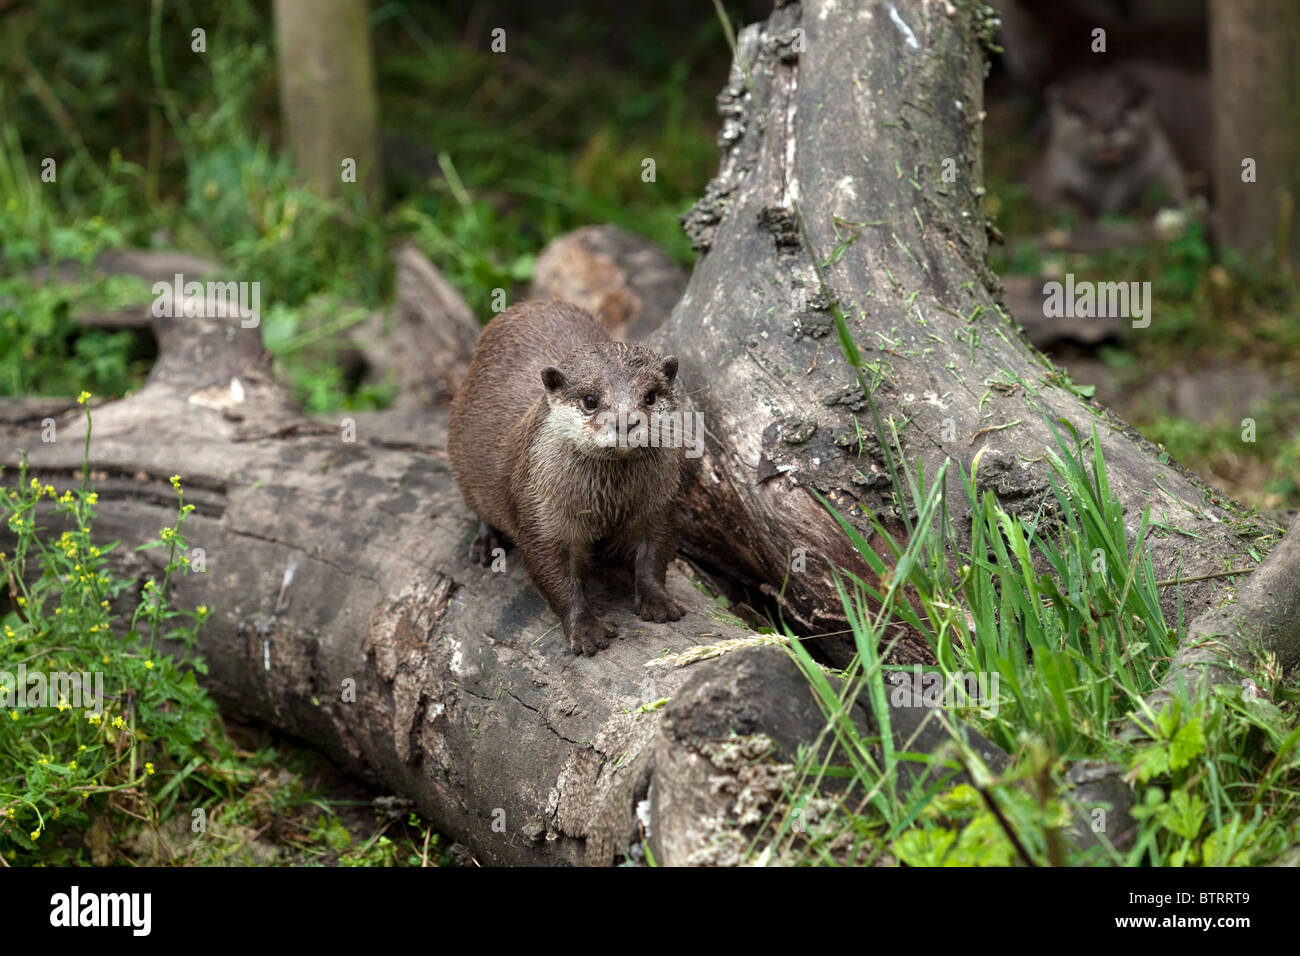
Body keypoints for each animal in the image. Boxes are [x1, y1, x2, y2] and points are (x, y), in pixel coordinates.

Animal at [448, 299, 684, 656]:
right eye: (590, 400)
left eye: (651, 396)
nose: (626, 421)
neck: (608, 502)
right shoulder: (540, 513)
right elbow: (555, 575)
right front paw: (586, 631)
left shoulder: (658, 504)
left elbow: (653, 554)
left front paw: (658, 601)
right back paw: (486, 544)